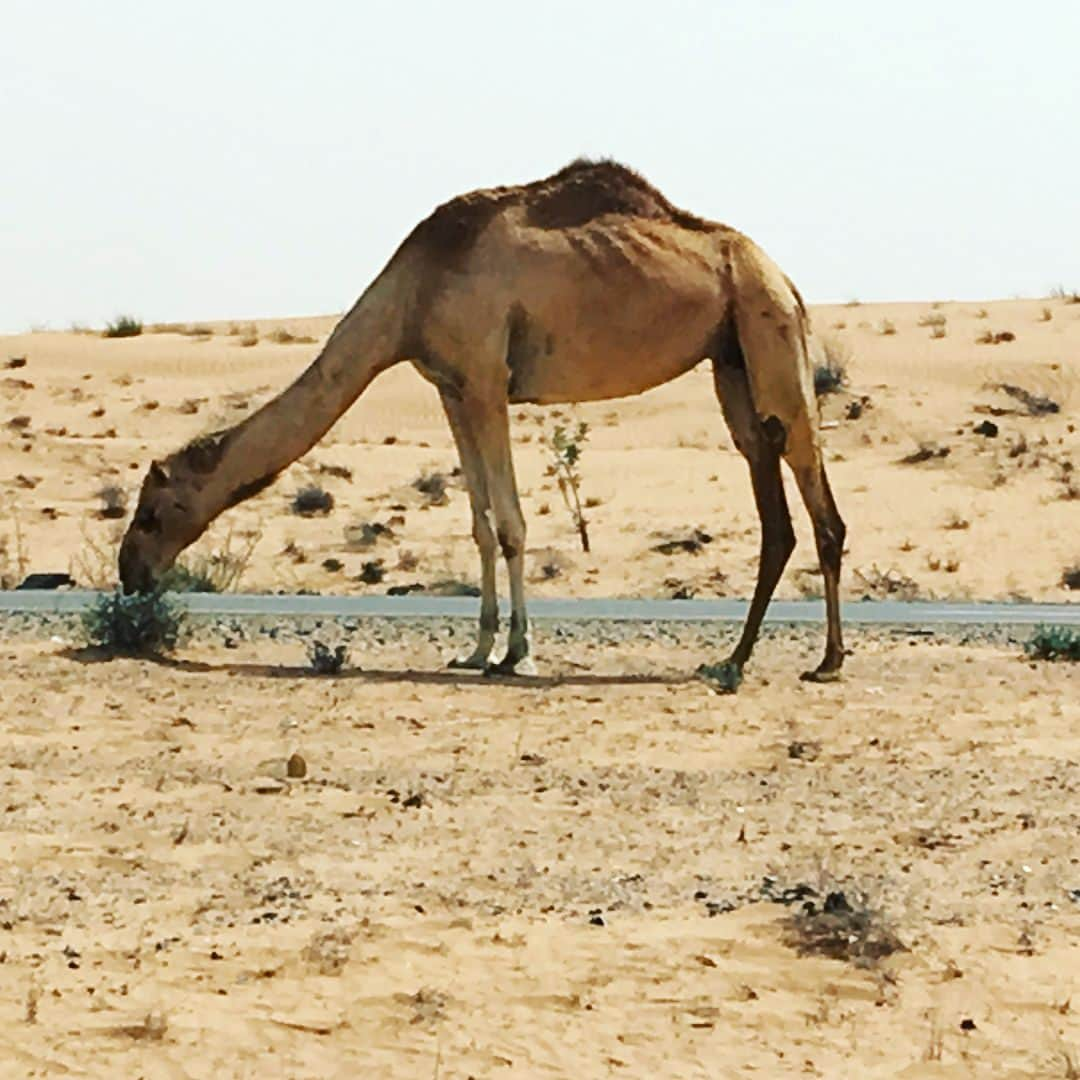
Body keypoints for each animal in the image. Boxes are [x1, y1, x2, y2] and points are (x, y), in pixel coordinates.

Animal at [118, 159, 842, 682]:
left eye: (153, 511)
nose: (130, 574)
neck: (413, 293)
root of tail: (785, 277)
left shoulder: (489, 380)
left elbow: (514, 524)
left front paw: (519, 654)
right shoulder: (451, 388)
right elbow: (481, 525)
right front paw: (476, 650)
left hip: (769, 328)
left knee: (816, 496)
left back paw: (826, 662)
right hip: (731, 359)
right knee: (772, 499)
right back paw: (734, 660)